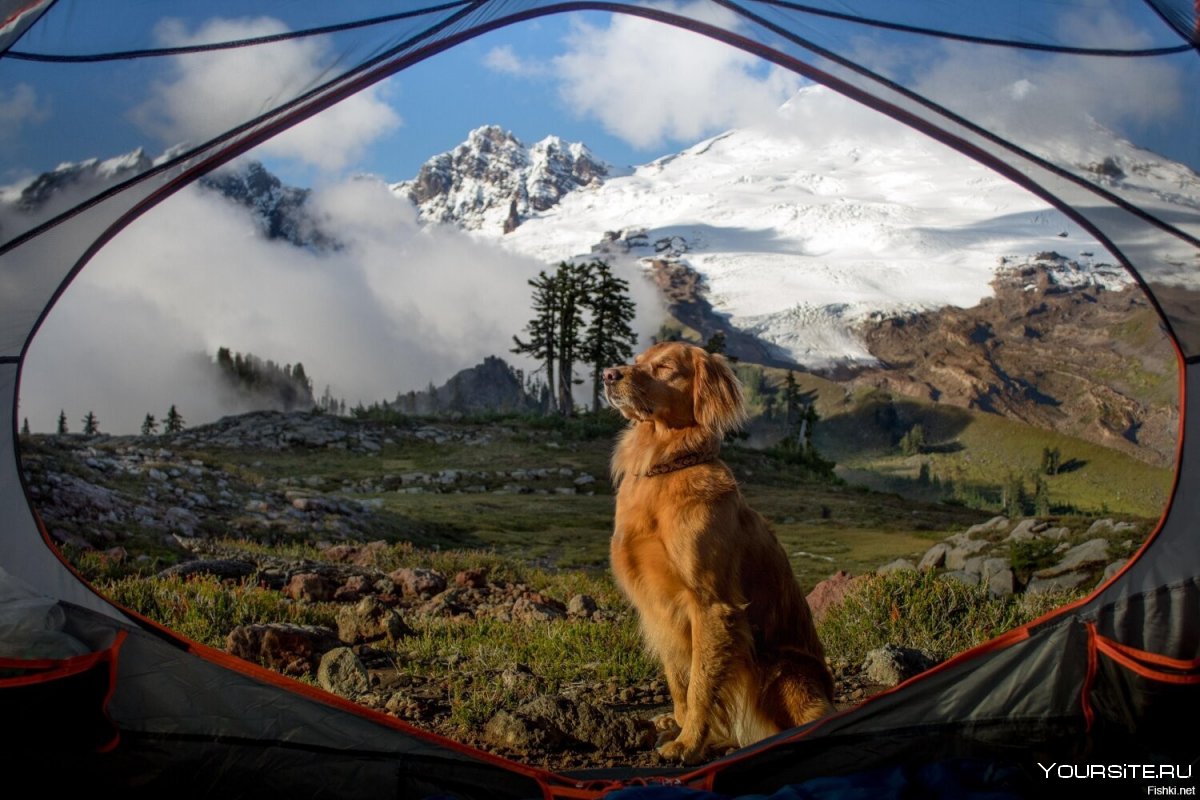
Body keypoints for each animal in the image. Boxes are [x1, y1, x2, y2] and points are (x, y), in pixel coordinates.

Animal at [604, 340, 830, 767]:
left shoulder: (709, 604)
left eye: (664, 368)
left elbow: (699, 685)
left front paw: (689, 743)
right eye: (638, 360)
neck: (665, 467)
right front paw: (679, 725)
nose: (609, 374)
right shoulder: (657, 606)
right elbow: (678, 679)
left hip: (786, 673)